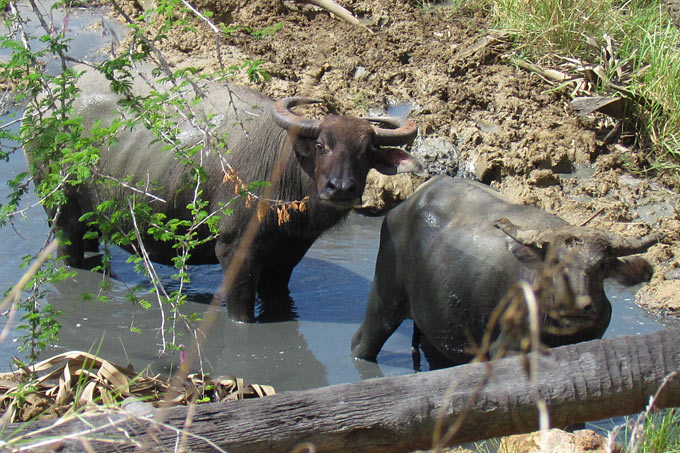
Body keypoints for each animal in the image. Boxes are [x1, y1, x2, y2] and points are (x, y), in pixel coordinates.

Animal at [25, 64, 419, 322]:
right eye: (321, 145)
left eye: (366, 151)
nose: (341, 188)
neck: (285, 171)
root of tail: (42, 98)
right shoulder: (234, 250)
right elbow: (241, 312)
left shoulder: (287, 258)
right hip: (61, 213)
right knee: (69, 252)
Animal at [351, 175, 658, 364]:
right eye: (553, 263)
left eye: (602, 265)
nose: (576, 306)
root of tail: (404, 205)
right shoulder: (507, 350)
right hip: (383, 301)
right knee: (362, 343)